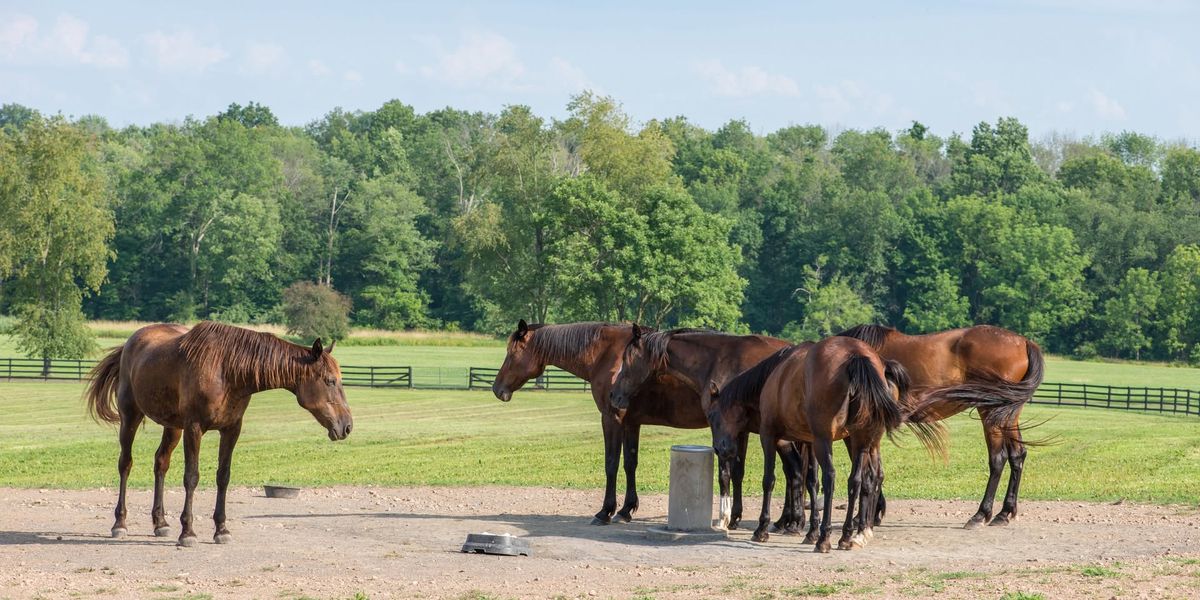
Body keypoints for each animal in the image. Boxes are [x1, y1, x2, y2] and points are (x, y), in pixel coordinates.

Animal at [85, 321, 350, 547]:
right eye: (329, 381)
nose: (346, 425)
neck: (226, 370)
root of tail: (130, 342)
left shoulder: (231, 429)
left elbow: (223, 476)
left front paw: (221, 530)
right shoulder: (194, 428)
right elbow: (191, 477)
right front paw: (188, 532)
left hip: (173, 427)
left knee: (160, 463)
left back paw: (160, 523)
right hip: (131, 416)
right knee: (125, 464)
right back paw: (120, 523)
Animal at [492, 321, 801, 528]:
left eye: (511, 353)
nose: (497, 389)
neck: (606, 354)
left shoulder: (612, 419)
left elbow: (612, 464)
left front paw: (606, 511)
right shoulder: (632, 423)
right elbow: (630, 463)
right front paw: (627, 509)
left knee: (792, 469)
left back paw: (786, 522)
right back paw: (785, 522)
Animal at [609, 328, 816, 535]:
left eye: (627, 359)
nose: (613, 395)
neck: (718, 361)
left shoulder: (725, 432)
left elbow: (725, 473)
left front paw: (724, 518)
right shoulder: (739, 432)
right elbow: (737, 472)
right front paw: (734, 517)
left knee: (795, 470)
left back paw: (792, 523)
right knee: (796, 472)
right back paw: (791, 522)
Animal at [700, 336, 945, 549]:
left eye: (711, 416)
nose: (721, 449)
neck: (774, 375)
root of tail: (856, 356)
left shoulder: (770, 436)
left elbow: (770, 480)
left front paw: (763, 528)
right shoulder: (809, 441)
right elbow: (811, 481)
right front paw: (810, 531)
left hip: (827, 440)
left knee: (832, 478)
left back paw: (826, 539)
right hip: (861, 440)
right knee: (859, 480)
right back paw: (850, 535)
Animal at [840, 326, 1046, 528]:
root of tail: (1024, 342)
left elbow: (864, 468)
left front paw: (864, 516)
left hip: (990, 412)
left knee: (998, 459)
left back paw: (980, 514)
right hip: (1008, 415)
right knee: (1017, 455)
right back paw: (1004, 513)